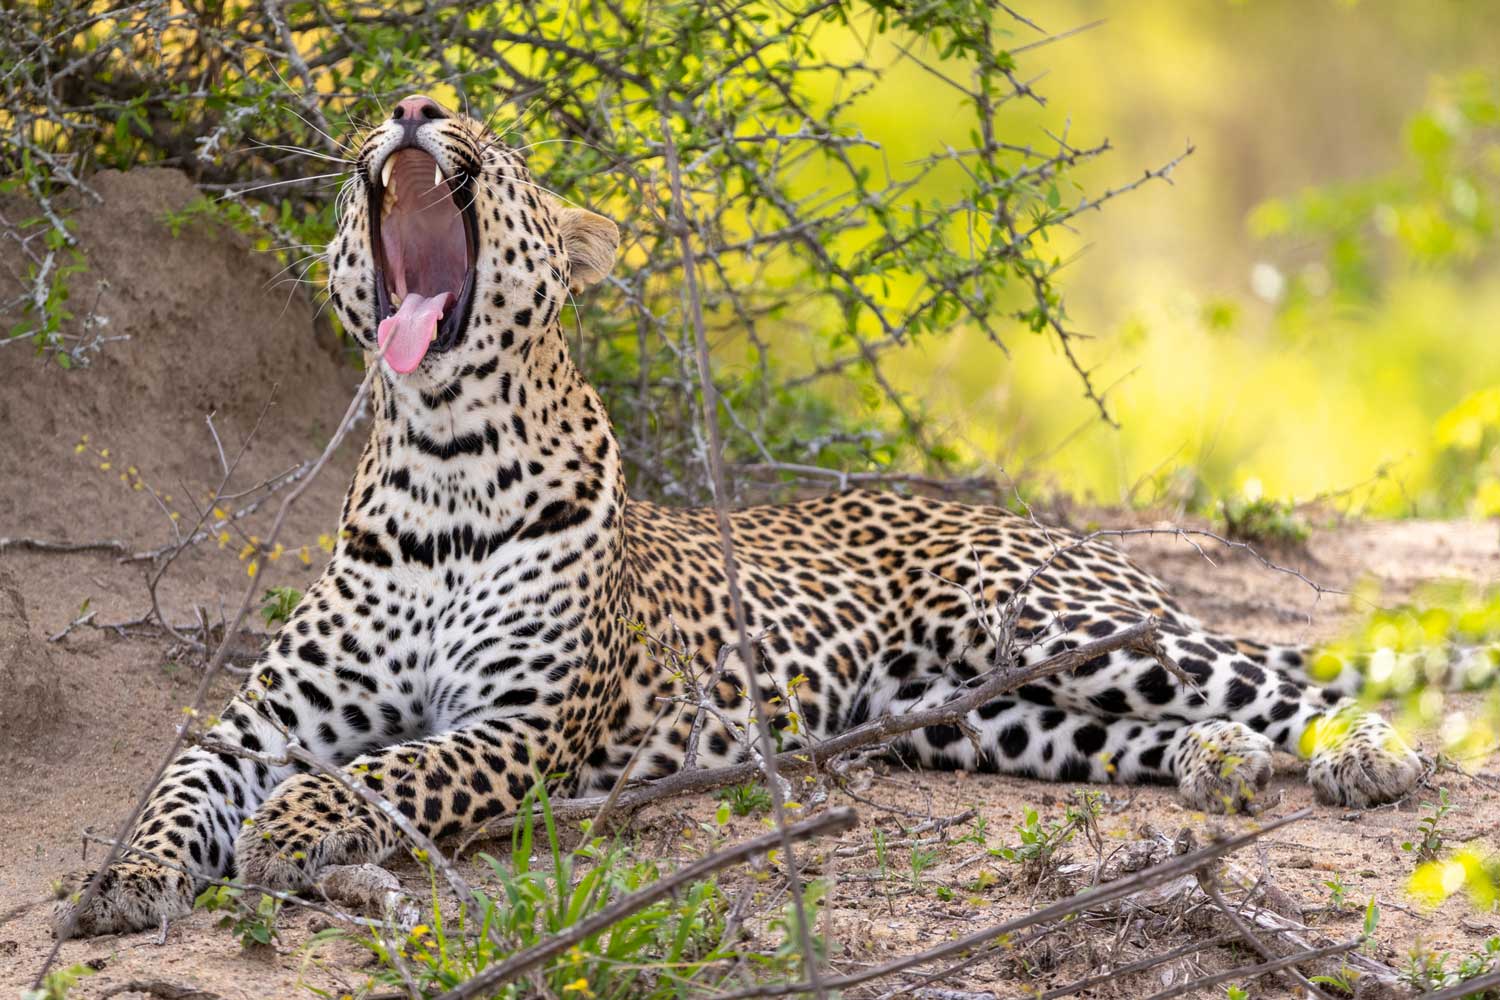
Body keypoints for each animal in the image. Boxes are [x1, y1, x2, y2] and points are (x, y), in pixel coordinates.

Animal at [54, 95, 1423, 938]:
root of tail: (1028, 522)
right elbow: (176, 787)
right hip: (992, 718)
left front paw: (294, 826)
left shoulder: (521, 728)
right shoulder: (255, 724)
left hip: (1062, 622)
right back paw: (1220, 765)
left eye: (489, 137)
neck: (443, 462)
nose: (409, 106)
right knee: (1161, 729)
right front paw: (124, 878)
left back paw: (1372, 752)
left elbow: (398, 770)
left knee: (1275, 670)